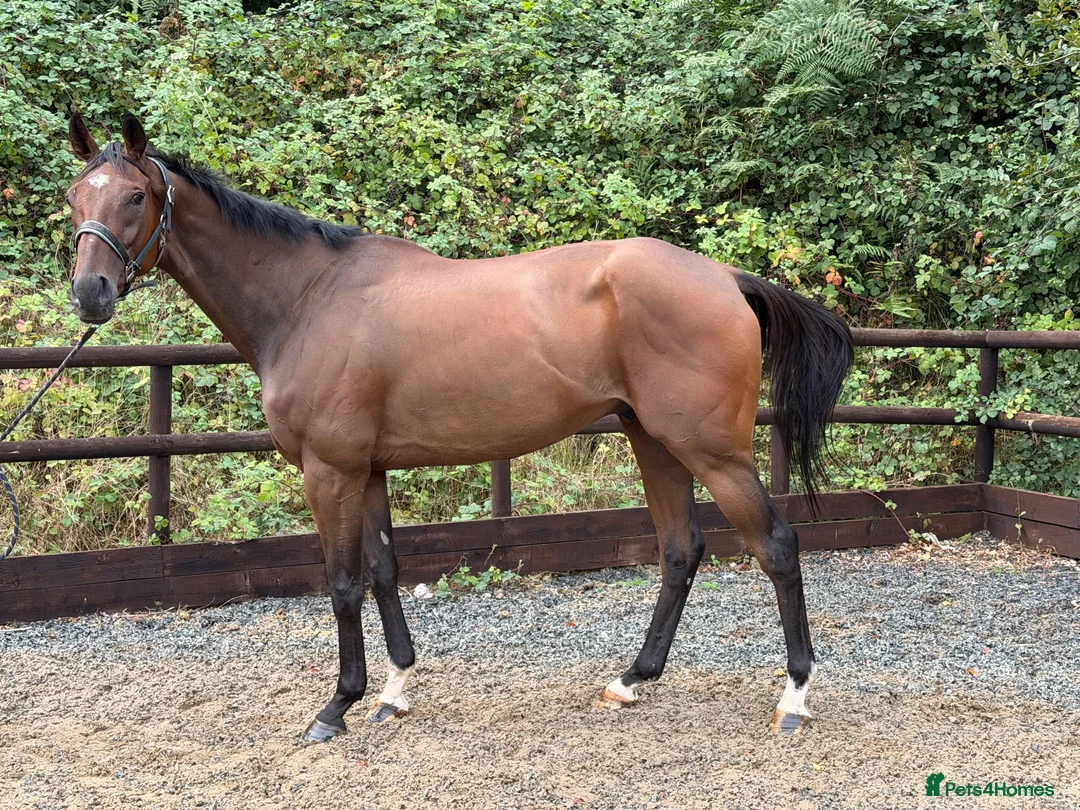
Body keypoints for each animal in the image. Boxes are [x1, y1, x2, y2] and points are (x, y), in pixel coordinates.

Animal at [65, 112, 853, 741]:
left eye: (135, 195)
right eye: (74, 196)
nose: (89, 294)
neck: (308, 298)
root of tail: (725, 278)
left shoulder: (330, 471)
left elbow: (342, 582)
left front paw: (336, 707)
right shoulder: (367, 470)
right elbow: (384, 570)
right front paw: (393, 692)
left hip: (712, 451)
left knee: (777, 547)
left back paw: (794, 698)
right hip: (654, 441)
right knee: (680, 551)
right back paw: (631, 679)